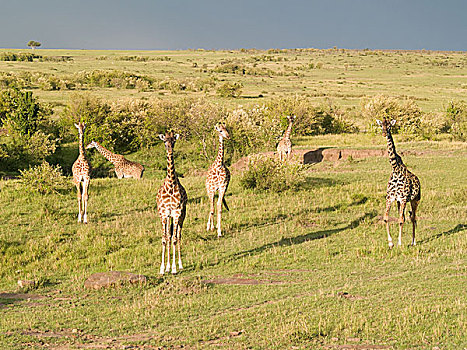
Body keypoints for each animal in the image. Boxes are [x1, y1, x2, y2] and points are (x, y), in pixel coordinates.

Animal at [378, 119, 422, 247]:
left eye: (389, 126)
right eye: (381, 125)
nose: (384, 133)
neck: (395, 168)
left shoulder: (403, 199)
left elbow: (402, 220)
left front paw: (399, 243)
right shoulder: (390, 198)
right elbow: (386, 218)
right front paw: (390, 243)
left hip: (415, 200)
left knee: (413, 218)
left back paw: (413, 241)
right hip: (400, 202)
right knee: (406, 217)